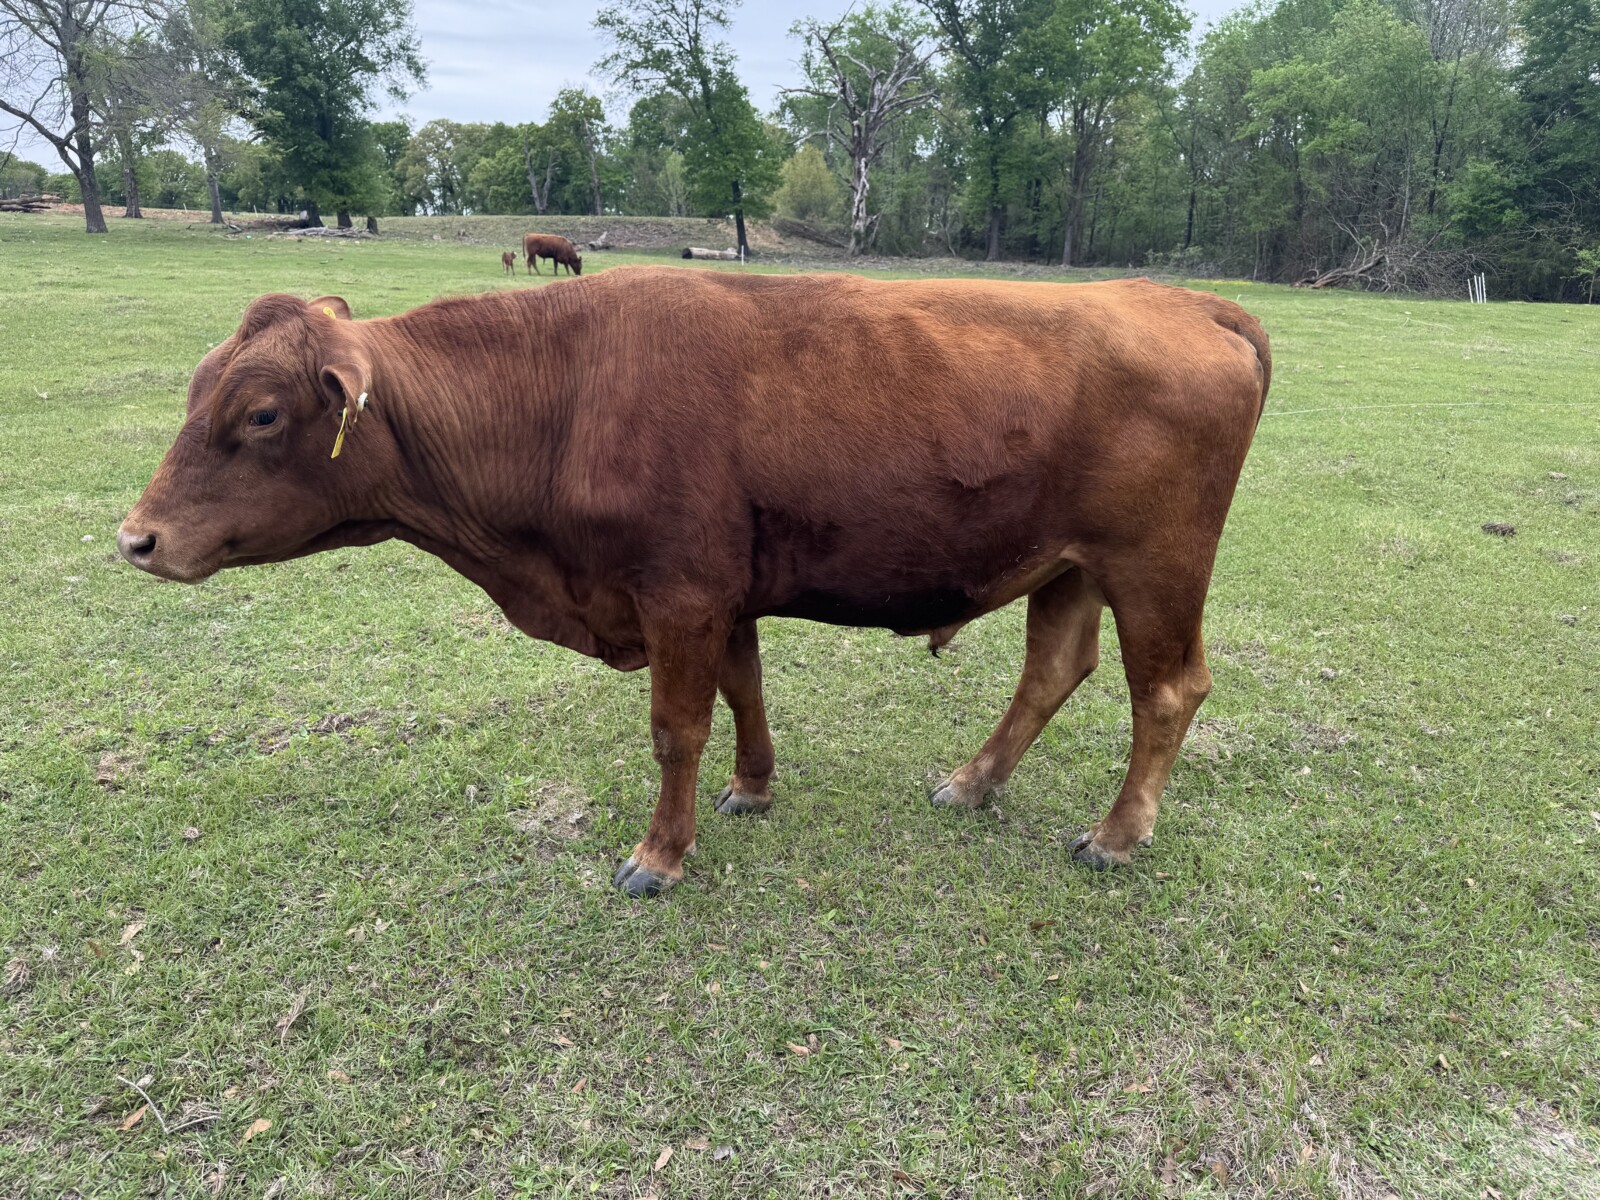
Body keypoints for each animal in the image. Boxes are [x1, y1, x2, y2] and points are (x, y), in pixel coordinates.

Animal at [118, 269, 1270, 899]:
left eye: (261, 413)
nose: (138, 537)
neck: (564, 393)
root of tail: (1183, 302)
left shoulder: (675, 594)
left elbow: (677, 727)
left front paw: (660, 854)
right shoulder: (721, 593)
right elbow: (742, 691)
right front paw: (753, 789)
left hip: (1155, 566)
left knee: (1167, 691)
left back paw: (1116, 836)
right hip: (1067, 567)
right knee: (1052, 671)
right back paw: (973, 782)